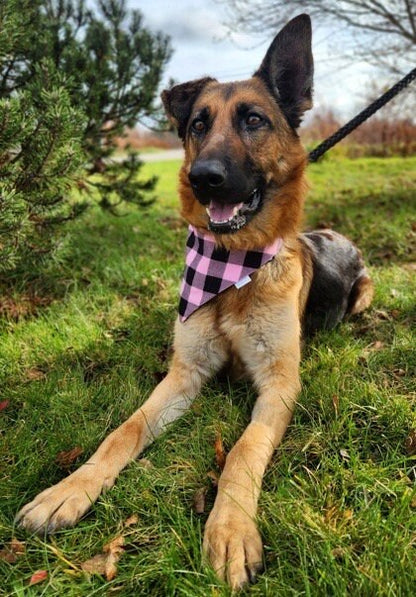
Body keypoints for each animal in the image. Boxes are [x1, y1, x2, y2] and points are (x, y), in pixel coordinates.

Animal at [17, 15, 374, 592]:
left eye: (253, 120)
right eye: (198, 125)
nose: (203, 177)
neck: (232, 272)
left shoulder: (280, 386)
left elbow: (245, 449)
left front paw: (229, 531)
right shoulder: (184, 374)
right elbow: (123, 431)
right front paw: (68, 490)